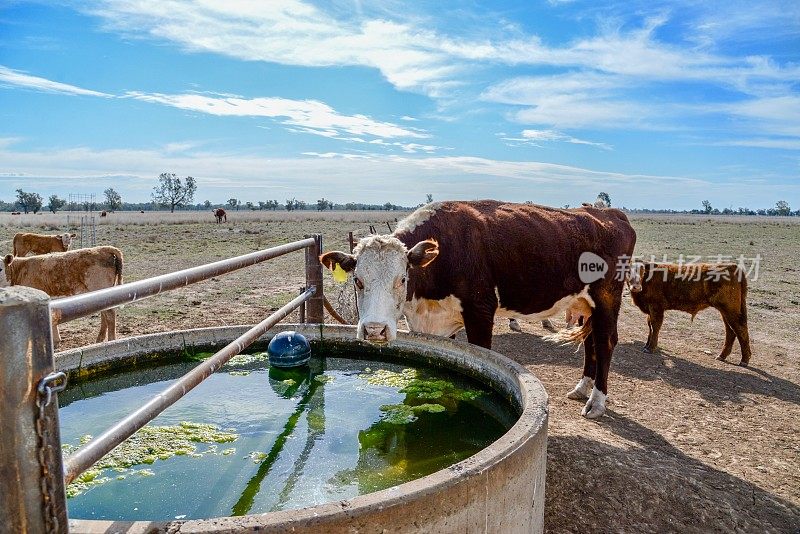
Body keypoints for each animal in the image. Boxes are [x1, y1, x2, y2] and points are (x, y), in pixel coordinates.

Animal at [320, 199, 636, 420]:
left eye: (402, 279)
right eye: (357, 280)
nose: (375, 330)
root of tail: (611, 214)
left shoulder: (480, 312)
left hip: (607, 297)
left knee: (605, 342)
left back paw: (596, 401)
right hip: (585, 302)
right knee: (591, 342)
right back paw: (582, 388)